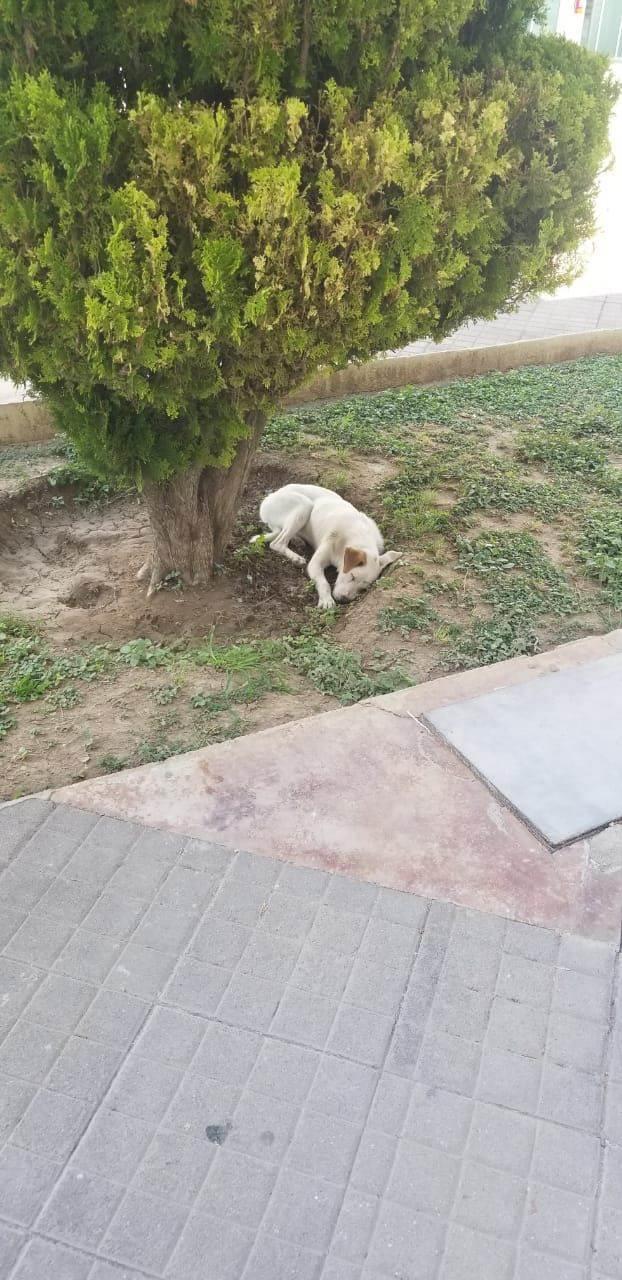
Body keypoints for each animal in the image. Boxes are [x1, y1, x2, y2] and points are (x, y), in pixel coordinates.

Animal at [252, 486, 399, 611]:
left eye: (363, 588)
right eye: (352, 577)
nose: (343, 600)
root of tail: (271, 496)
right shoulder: (315, 564)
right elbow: (324, 583)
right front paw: (326, 600)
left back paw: (298, 540)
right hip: (304, 505)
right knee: (277, 543)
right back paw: (296, 557)